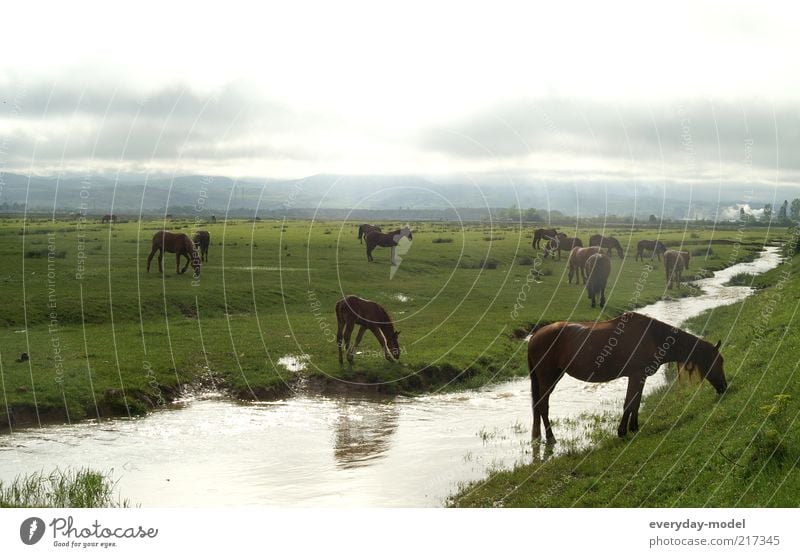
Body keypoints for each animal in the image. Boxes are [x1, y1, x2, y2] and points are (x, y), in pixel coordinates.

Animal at [528, 310, 728, 440]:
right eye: (719, 362)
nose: (724, 387)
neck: (653, 336)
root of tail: (534, 337)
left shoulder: (641, 376)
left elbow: (636, 402)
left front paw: (634, 427)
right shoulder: (636, 374)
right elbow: (629, 403)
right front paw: (622, 431)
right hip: (548, 378)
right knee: (543, 406)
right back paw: (551, 438)